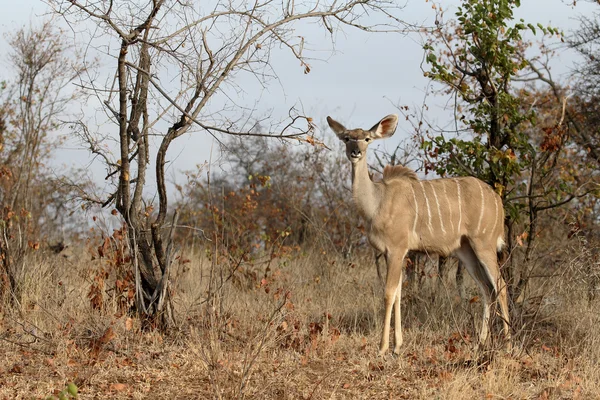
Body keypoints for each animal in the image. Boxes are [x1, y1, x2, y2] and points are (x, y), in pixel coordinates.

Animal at [328, 114, 510, 354]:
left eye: (367, 138)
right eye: (347, 138)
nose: (355, 152)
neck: (377, 201)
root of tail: (497, 200)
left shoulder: (396, 249)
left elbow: (389, 293)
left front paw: (383, 348)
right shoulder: (397, 253)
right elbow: (398, 293)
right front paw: (397, 347)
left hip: (484, 244)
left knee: (501, 286)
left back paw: (508, 345)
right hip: (466, 251)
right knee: (487, 290)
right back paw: (480, 343)